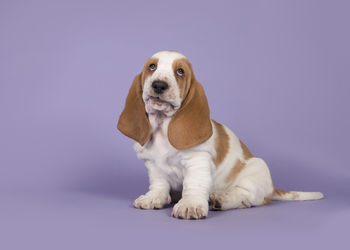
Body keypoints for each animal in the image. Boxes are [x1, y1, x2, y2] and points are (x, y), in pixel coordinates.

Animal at [117, 49, 322, 219]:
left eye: (180, 72)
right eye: (152, 67)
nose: (159, 85)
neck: (162, 125)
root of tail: (272, 189)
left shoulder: (197, 162)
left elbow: (193, 185)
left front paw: (189, 205)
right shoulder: (153, 165)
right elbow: (159, 184)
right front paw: (153, 198)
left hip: (256, 170)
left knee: (246, 197)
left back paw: (220, 199)